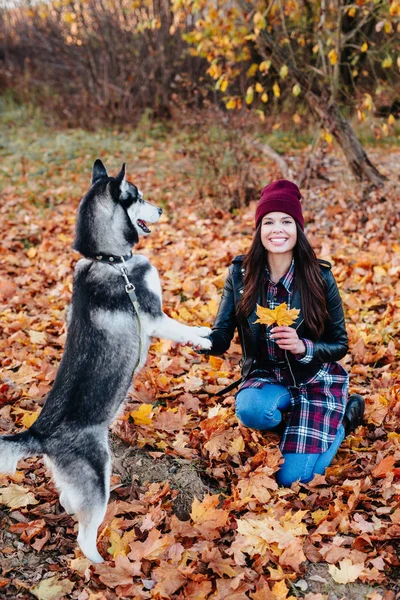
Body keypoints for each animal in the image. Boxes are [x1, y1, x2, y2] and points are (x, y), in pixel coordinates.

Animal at [0, 159, 212, 564]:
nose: (161, 209)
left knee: (70, 502)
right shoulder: (154, 315)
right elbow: (179, 327)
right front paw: (202, 337)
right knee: (84, 536)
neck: (112, 261)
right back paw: (103, 564)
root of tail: (40, 434)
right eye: (139, 197)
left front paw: (203, 330)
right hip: (100, 475)